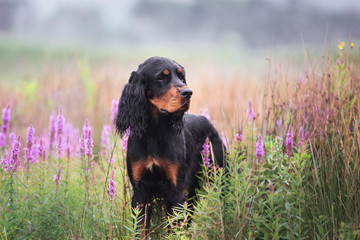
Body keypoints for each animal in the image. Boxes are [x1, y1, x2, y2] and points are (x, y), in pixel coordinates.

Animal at [115, 56, 224, 238]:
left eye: (181, 77)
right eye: (161, 77)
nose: (188, 92)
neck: (154, 133)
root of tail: (208, 122)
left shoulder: (175, 191)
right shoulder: (140, 192)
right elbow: (141, 230)